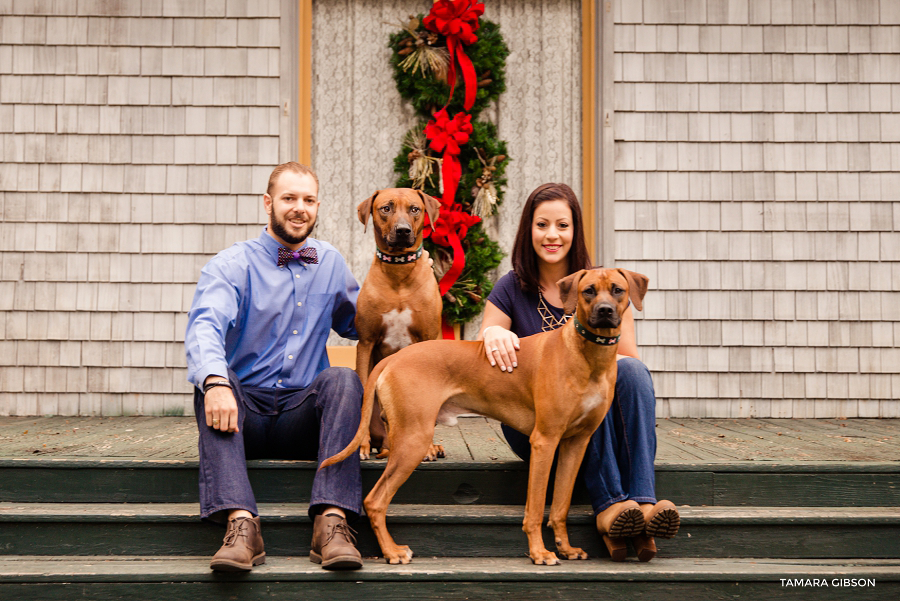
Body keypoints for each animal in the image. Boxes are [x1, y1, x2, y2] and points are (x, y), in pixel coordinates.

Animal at [324, 268, 648, 564]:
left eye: (617, 290)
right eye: (588, 291)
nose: (605, 311)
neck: (588, 357)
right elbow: (536, 507)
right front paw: (539, 553)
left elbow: (560, 505)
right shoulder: (544, 441)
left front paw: (565, 548)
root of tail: (393, 358)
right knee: (374, 500)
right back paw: (392, 551)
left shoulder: (575, 444)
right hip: (413, 440)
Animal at [356, 188, 446, 460]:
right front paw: (361, 446)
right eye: (386, 208)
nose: (403, 230)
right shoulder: (365, 342)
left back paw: (432, 446)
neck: (398, 271)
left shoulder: (428, 337)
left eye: (415, 209)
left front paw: (428, 448)